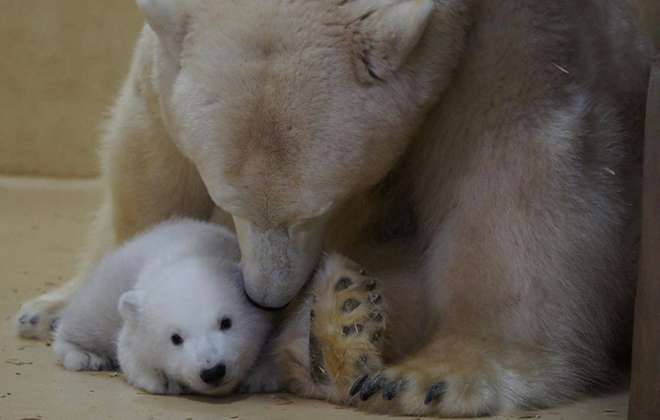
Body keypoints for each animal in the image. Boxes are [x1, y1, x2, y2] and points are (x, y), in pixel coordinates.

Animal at [14, 0, 648, 418]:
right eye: (225, 199)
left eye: (317, 206)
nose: (267, 297)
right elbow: (148, 148)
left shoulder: (526, 34)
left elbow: (515, 164)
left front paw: (438, 376)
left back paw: (335, 333)